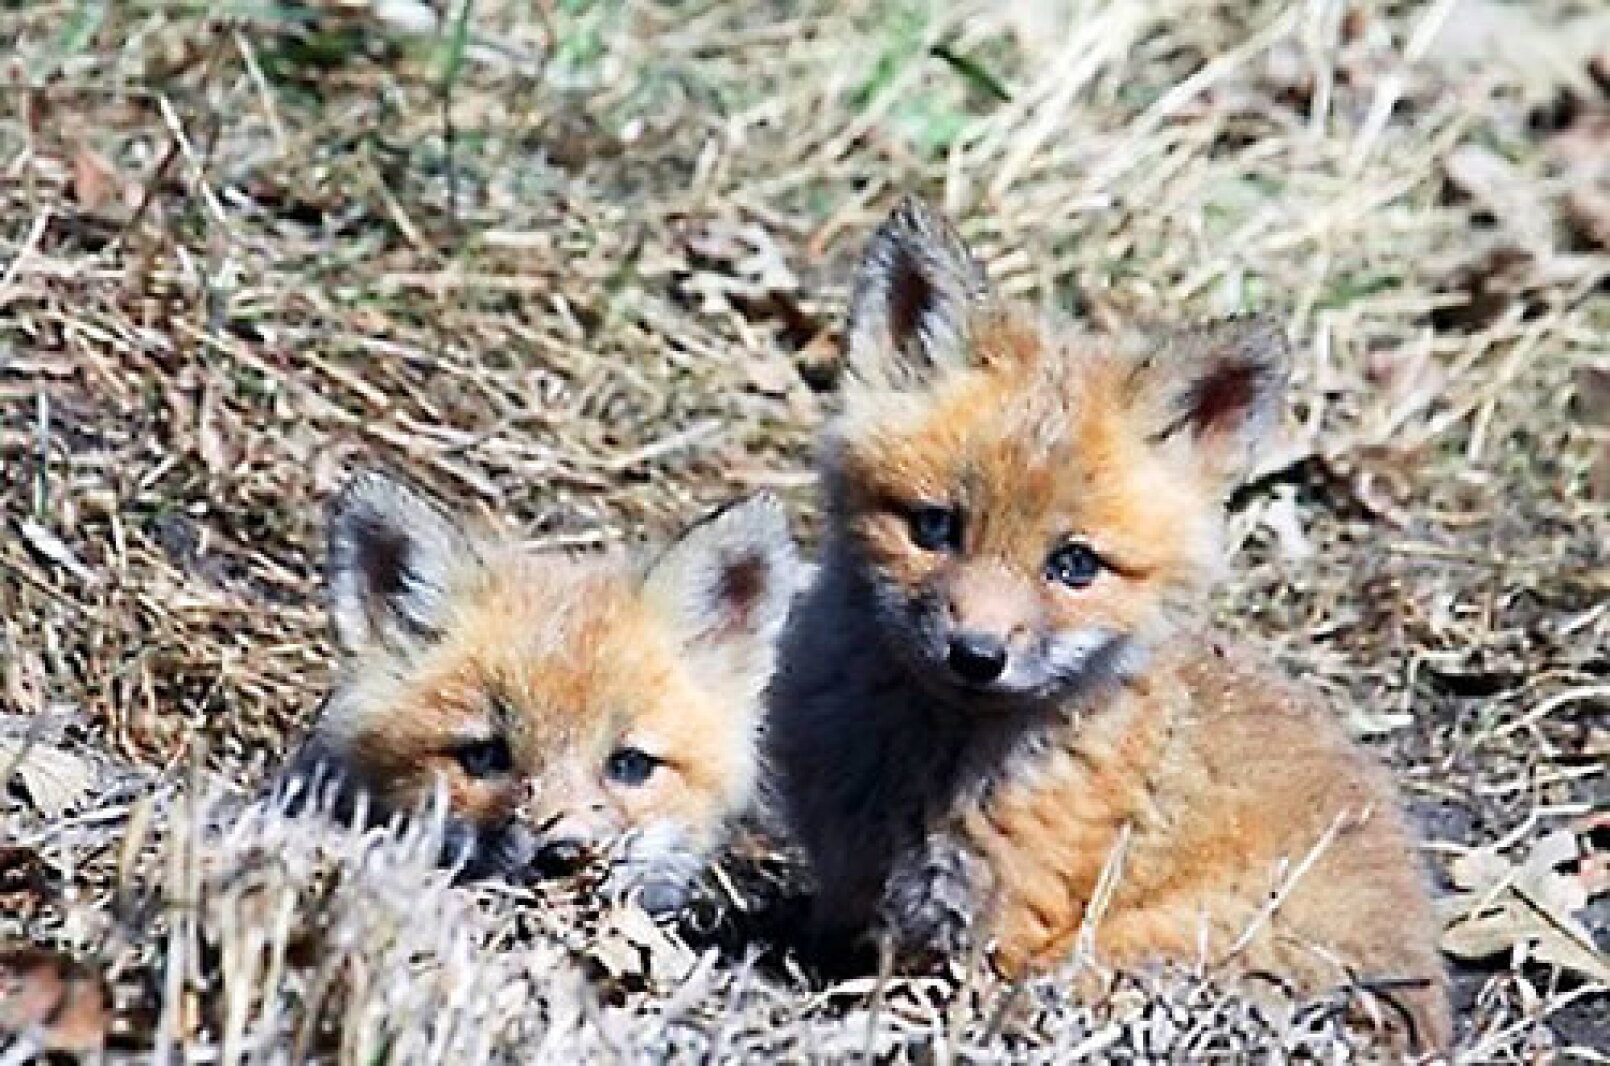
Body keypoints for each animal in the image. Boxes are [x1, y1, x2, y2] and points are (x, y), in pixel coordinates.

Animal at [767, 198, 1451, 1052]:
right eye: (933, 527)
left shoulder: (1001, 932)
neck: (920, 770)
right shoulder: (852, 888)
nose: (976, 655)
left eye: (1074, 565)